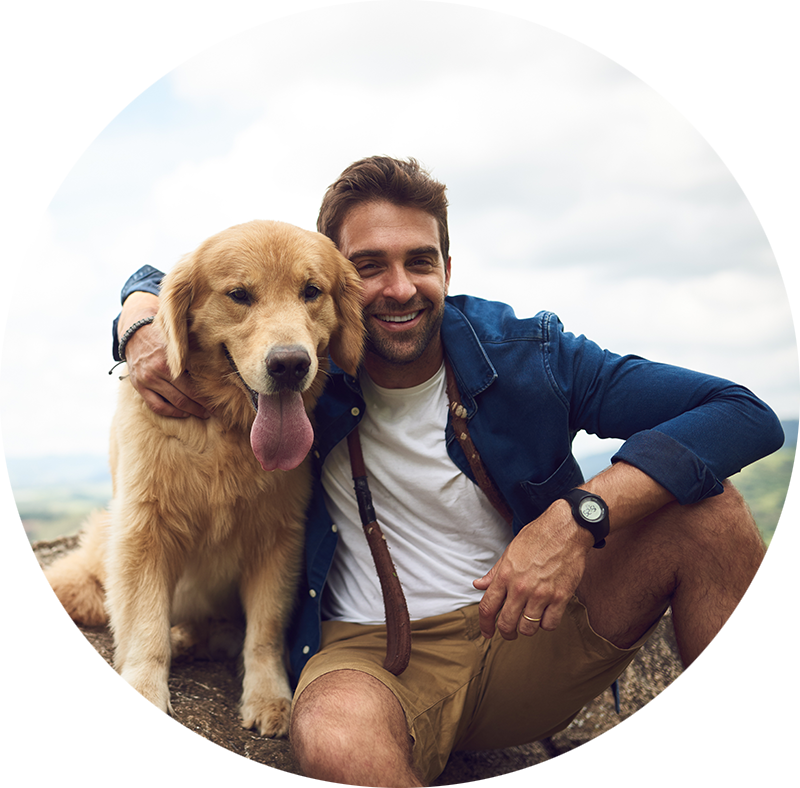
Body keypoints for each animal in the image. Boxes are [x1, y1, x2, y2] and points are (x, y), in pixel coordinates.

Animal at [25, 220, 362, 752]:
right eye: (239, 294)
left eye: (311, 291)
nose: (290, 364)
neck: (226, 426)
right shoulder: (143, 527)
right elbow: (145, 628)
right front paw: (139, 701)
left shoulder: (279, 535)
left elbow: (265, 631)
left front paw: (269, 697)